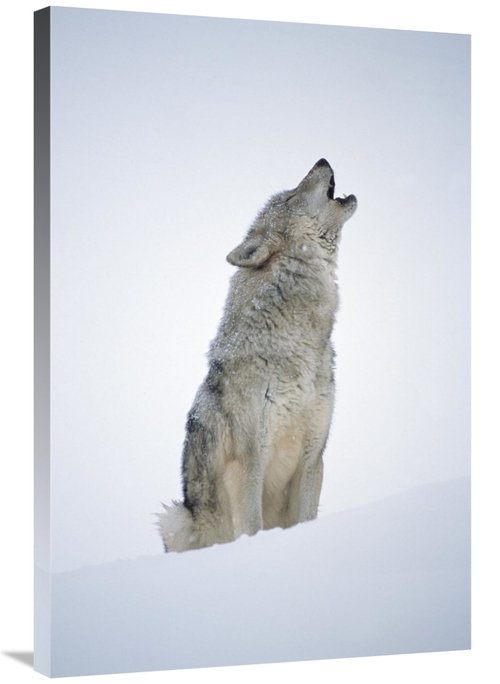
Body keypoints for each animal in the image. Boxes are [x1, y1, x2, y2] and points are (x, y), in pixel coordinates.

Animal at [157, 158, 357, 552]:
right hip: (176, 517)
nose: (322, 160)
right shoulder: (247, 463)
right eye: (292, 196)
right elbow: (251, 526)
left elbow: (306, 518)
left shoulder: (313, 458)